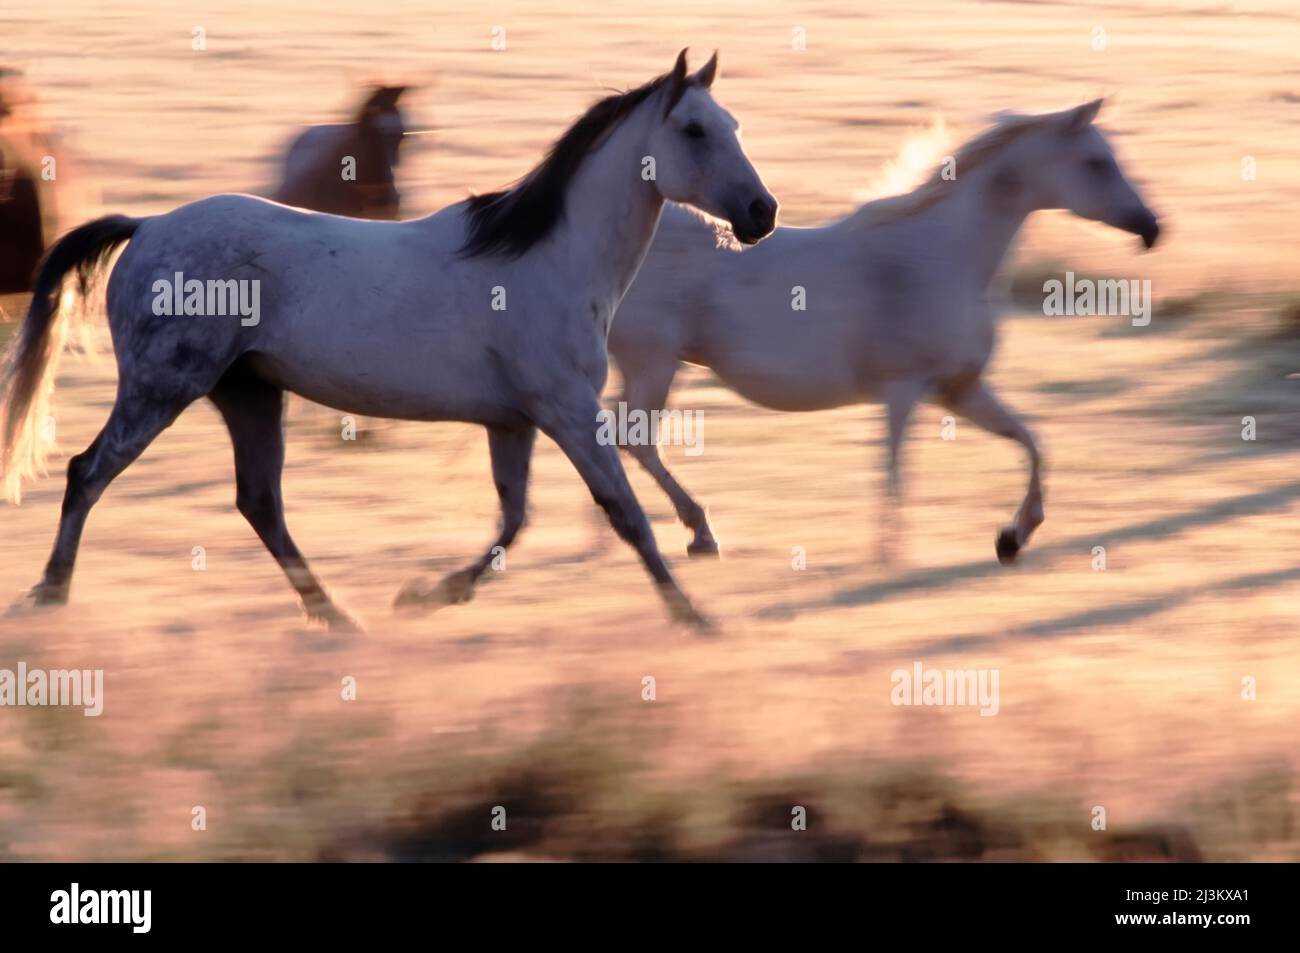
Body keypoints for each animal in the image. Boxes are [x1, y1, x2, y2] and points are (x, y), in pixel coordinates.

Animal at [0, 52, 769, 631]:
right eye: (695, 130)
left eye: (732, 123)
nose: (763, 212)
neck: (551, 259)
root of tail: (147, 227)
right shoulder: (568, 411)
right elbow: (626, 515)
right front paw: (695, 614)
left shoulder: (513, 420)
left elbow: (513, 519)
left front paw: (428, 594)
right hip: (163, 387)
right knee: (88, 472)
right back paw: (51, 595)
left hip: (249, 394)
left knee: (260, 503)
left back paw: (337, 615)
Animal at [608, 102, 1159, 564]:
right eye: (1097, 163)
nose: (1152, 228)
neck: (940, 256)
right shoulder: (904, 390)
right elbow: (895, 472)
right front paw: (888, 557)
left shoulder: (960, 390)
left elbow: (1033, 443)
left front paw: (1012, 537)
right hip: (655, 363)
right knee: (633, 438)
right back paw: (698, 533)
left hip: (646, 367)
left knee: (611, 431)